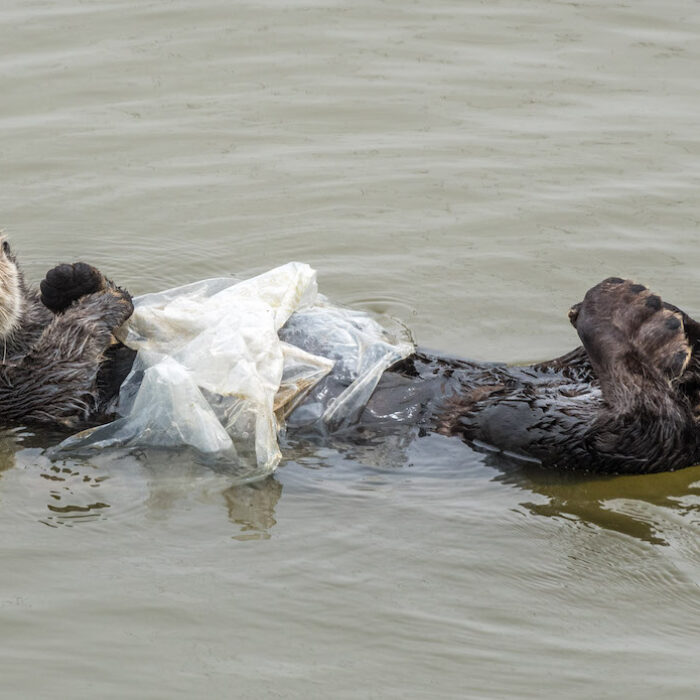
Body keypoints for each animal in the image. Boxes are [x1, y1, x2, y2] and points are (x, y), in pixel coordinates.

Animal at [3, 238, 700, 473]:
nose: (7, 251)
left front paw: (75, 278)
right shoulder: (27, 397)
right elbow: (58, 375)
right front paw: (97, 302)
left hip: (549, 387)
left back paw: (668, 324)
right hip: (527, 428)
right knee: (645, 431)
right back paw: (636, 324)